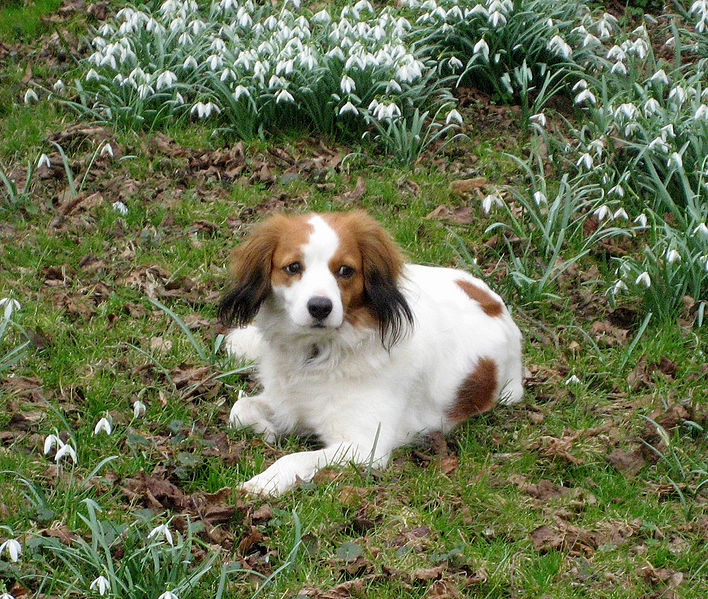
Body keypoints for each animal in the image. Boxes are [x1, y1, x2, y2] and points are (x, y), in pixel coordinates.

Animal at [221, 212, 524, 496]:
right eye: (293, 267)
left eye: (345, 270)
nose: (320, 307)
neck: (319, 355)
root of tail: (494, 301)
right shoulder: (286, 402)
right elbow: (239, 410)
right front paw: (266, 430)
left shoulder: (365, 445)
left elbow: (294, 458)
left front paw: (264, 482)